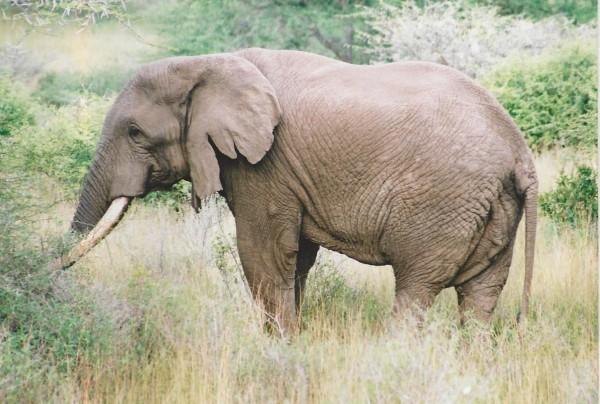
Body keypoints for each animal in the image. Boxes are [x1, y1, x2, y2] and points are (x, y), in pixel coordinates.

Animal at [70, 48, 540, 332]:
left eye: (135, 132)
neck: (209, 64)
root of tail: (519, 151)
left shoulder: (263, 166)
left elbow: (263, 253)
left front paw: (278, 346)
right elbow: (295, 259)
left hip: (442, 203)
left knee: (415, 289)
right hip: (496, 206)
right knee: (481, 295)